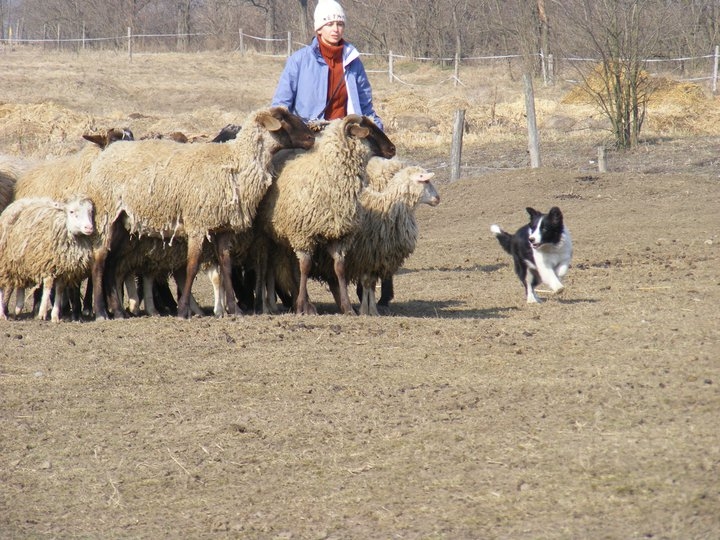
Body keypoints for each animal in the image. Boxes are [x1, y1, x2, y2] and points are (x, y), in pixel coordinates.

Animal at [85, 106, 315, 320]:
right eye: (282, 118)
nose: (311, 138)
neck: (235, 161)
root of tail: (107, 153)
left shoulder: (222, 228)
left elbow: (226, 265)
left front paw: (234, 309)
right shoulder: (197, 224)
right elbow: (192, 265)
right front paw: (183, 310)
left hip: (124, 225)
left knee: (111, 263)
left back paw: (117, 310)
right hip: (107, 214)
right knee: (99, 260)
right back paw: (100, 312)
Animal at [256, 114, 396, 315]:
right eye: (369, 130)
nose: (393, 149)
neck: (329, 178)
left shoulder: (340, 236)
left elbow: (339, 268)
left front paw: (347, 307)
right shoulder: (303, 235)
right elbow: (306, 268)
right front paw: (302, 306)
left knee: (291, 267)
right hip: (267, 233)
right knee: (267, 265)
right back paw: (274, 304)